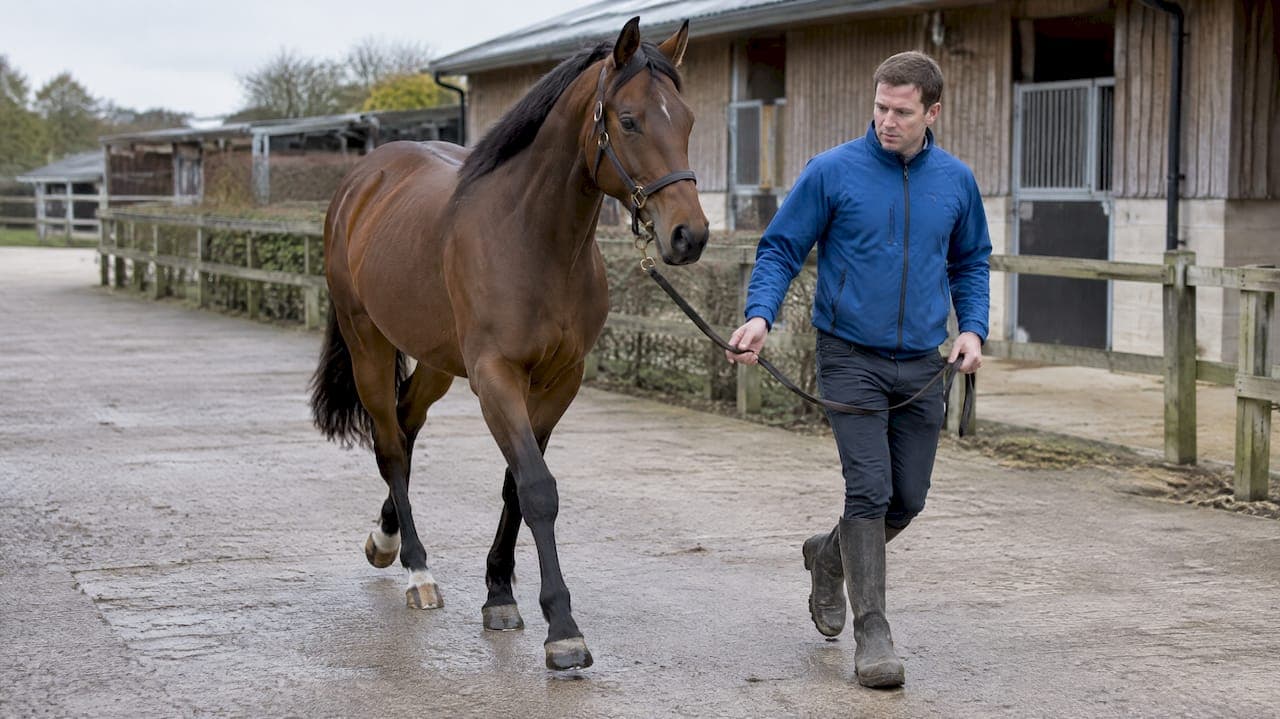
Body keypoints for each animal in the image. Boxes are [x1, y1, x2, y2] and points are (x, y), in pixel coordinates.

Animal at [309, 17, 709, 671]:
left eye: (689, 120)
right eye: (629, 120)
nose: (688, 235)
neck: (531, 238)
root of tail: (364, 177)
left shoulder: (558, 379)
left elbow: (516, 485)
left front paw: (499, 593)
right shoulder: (496, 375)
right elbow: (538, 488)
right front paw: (563, 629)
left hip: (438, 362)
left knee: (407, 426)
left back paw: (385, 538)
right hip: (368, 341)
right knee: (389, 445)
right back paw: (417, 569)